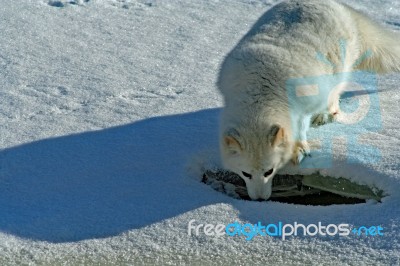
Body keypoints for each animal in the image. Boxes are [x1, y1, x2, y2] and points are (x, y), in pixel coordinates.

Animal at [219, 0, 400, 200]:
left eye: (269, 171)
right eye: (246, 174)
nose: (259, 199)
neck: (260, 92)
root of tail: (341, 7)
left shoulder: (303, 105)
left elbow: (300, 127)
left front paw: (299, 150)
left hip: (337, 71)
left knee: (334, 95)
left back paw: (325, 114)